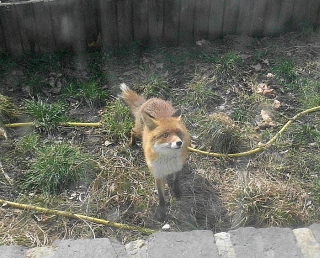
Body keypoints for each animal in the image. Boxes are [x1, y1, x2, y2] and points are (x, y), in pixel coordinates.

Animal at [119, 83, 190, 219]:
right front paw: (162, 213)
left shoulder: (177, 167)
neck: (167, 162)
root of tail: (149, 100)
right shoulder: (157, 174)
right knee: (132, 131)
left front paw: (177, 192)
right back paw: (132, 143)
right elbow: (161, 197)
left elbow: (176, 181)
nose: (179, 142)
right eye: (165, 135)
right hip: (139, 131)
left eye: (178, 133)